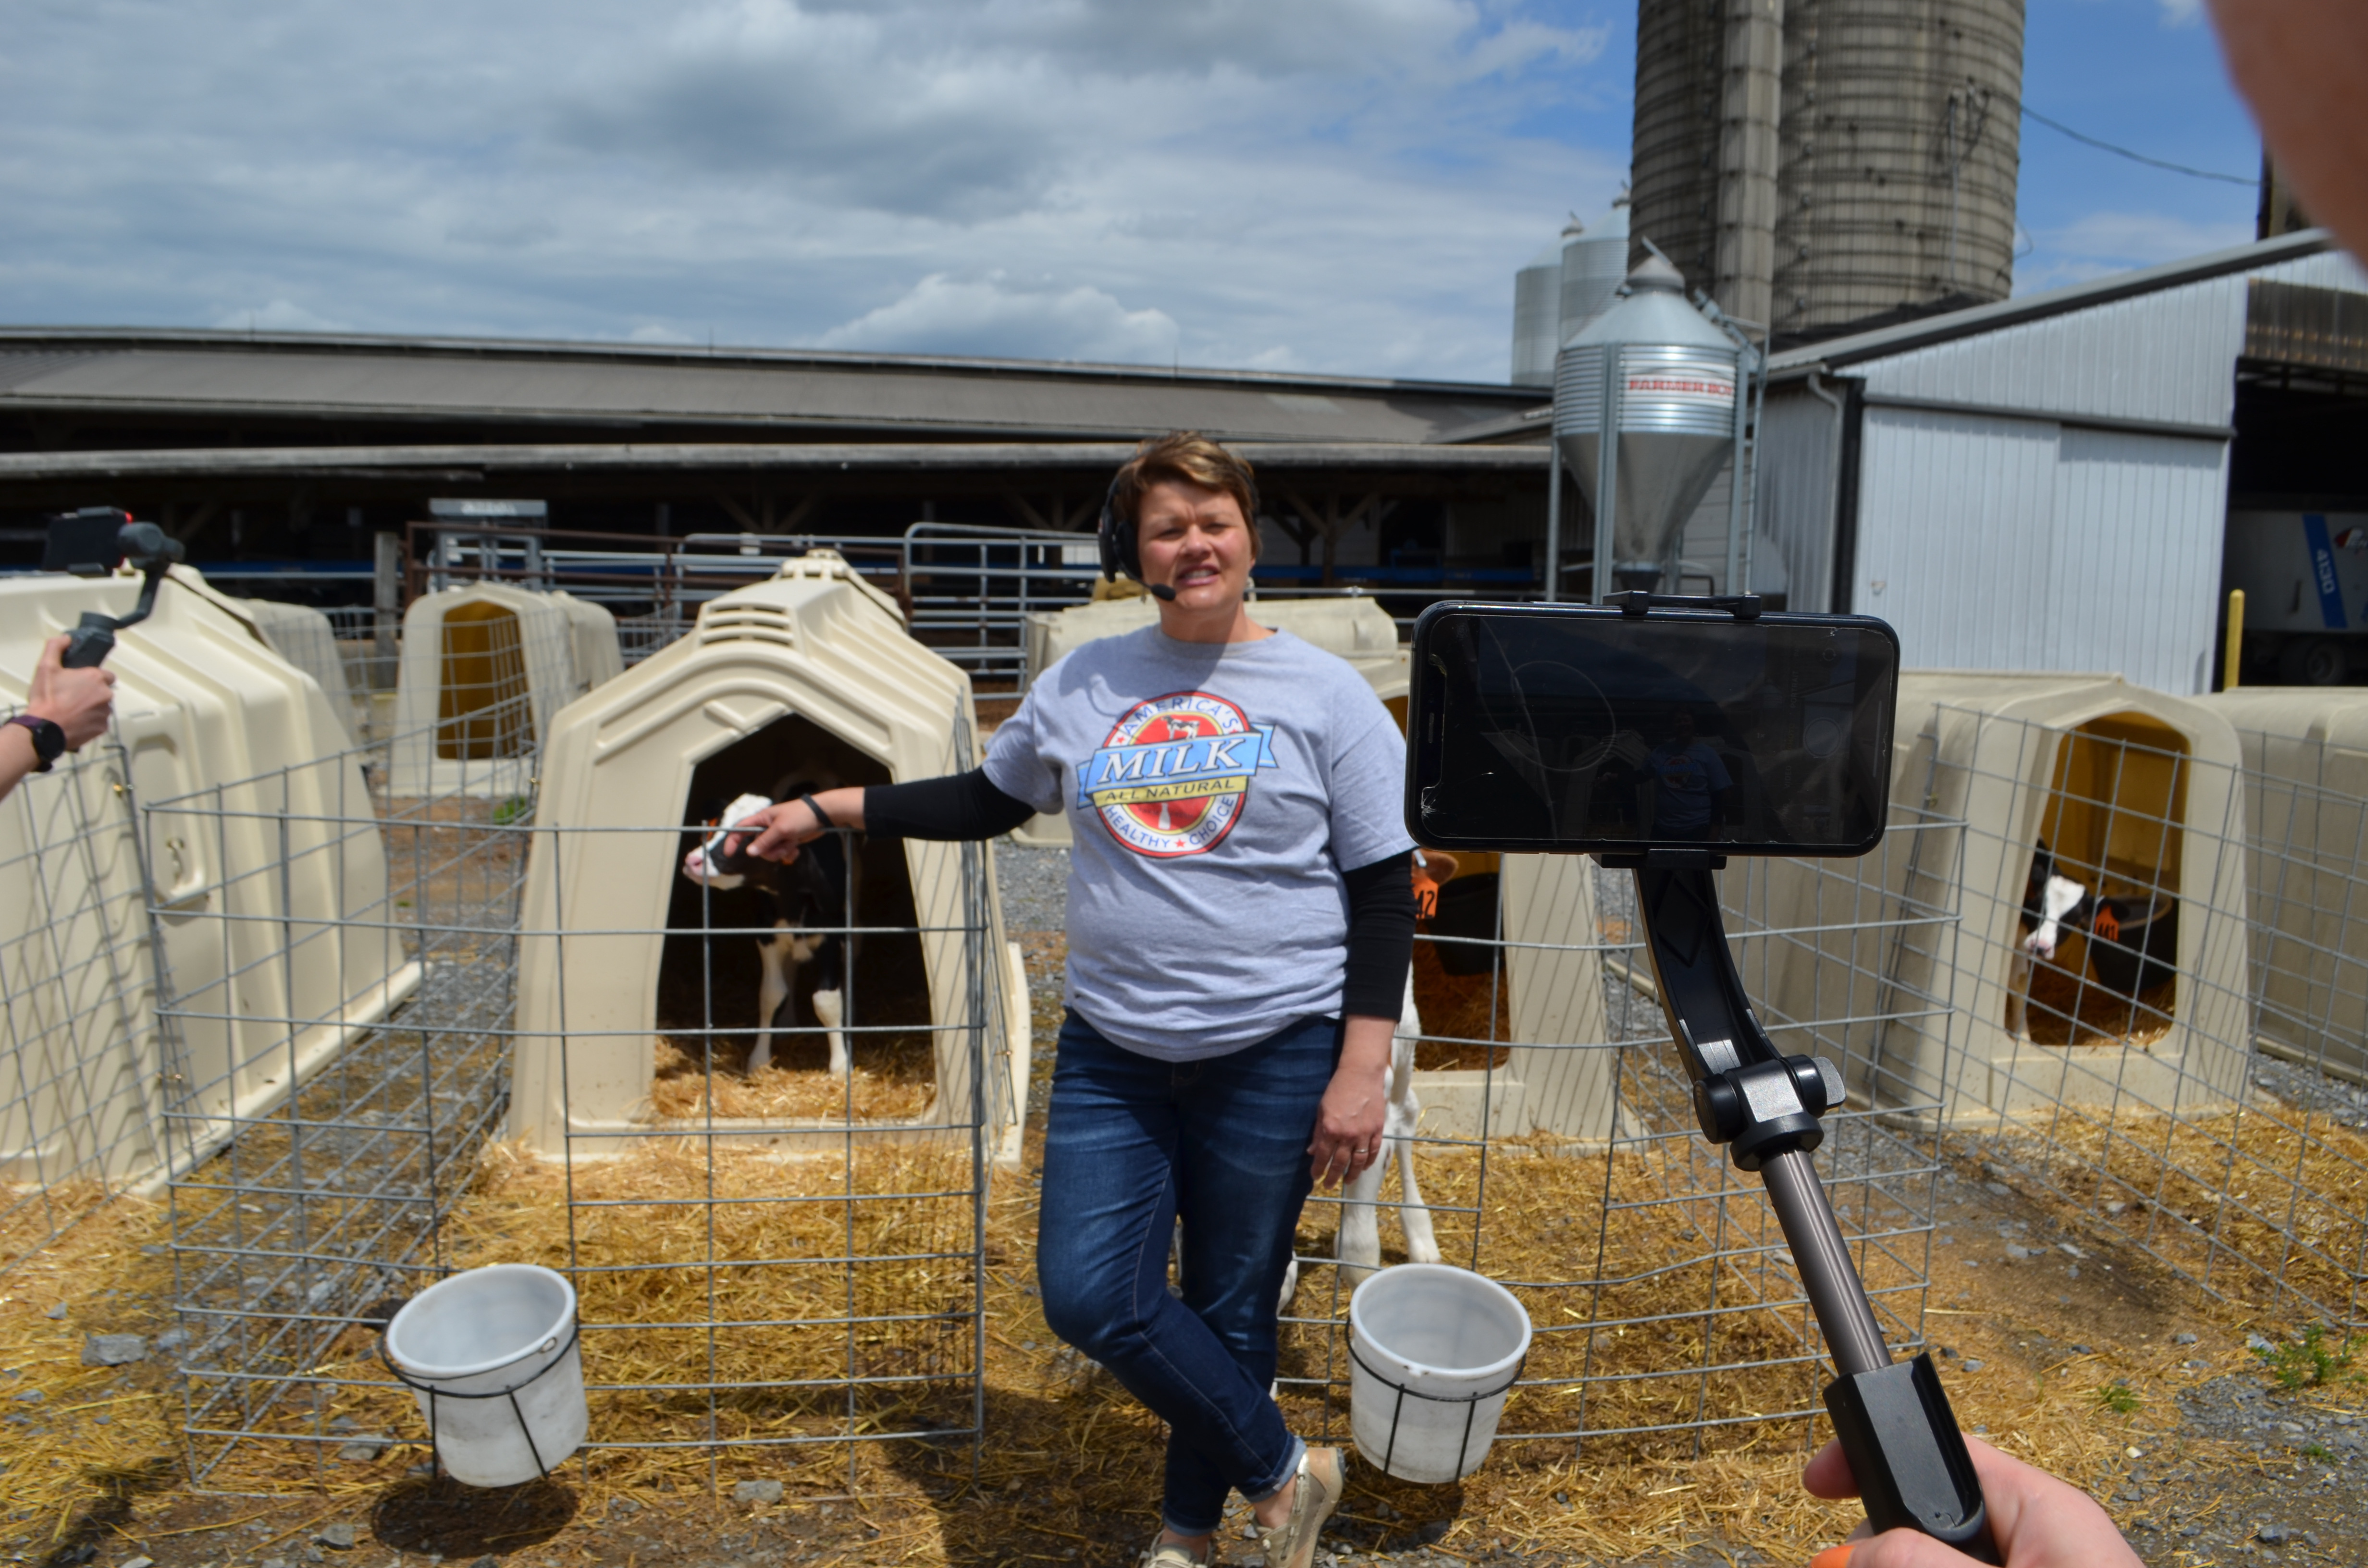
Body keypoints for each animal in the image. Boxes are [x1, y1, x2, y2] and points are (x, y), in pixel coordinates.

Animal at [682, 791, 866, 1075]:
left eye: (752, 836)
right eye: (714, 823)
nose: (693, 861)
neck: (792, 900)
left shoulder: (831, 937)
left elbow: (826, 1001)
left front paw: (840, 1065)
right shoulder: (766, 933)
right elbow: (770, 995)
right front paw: (759, 1059)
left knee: (853, 952)